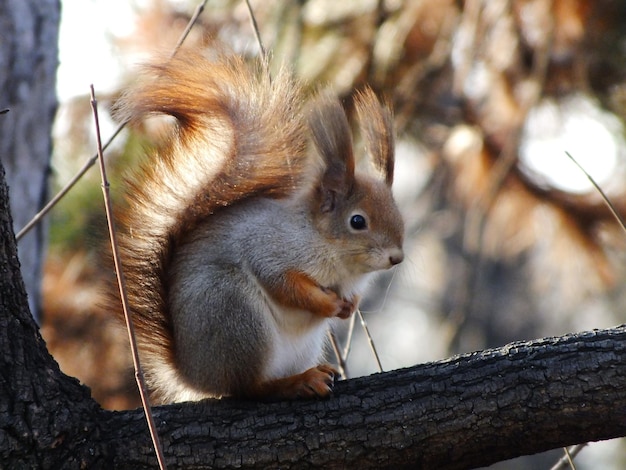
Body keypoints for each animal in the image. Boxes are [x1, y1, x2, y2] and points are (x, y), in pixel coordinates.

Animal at [111, 50, 404, 404]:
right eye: (357, 221)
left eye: (399, 214)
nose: (397, 258)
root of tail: (194, 376)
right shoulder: (269, 247)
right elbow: (283, 283)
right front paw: (329, 304)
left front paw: (349, 307)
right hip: (235, 315)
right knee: (249, 387)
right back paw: (297, 382)